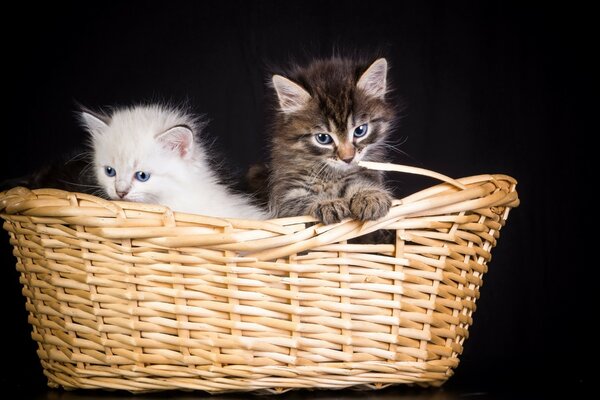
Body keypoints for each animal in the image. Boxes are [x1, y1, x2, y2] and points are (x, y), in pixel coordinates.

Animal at [268, 57, 394, 225]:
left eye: (360, 130)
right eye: (323, 138)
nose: (348, 158)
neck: (331, 174)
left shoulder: (365, 171)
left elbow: (360, 181)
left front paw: (370, 195)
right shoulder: (286, 193)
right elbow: (300, 201)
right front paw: (327, 202)